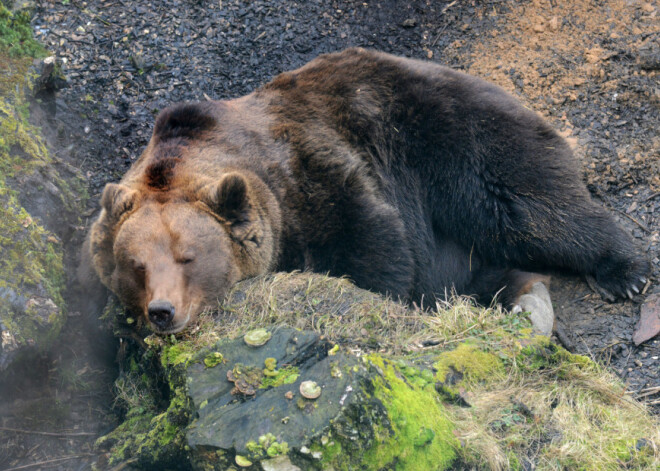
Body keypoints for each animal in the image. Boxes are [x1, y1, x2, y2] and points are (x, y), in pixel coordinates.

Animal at [81, 48, 648, 336]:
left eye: (189, 257)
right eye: (135, 265)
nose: (162, 311)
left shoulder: (315, 174)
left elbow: (372, 244)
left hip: (450, 137)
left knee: (526, 202)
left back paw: (624, 272)